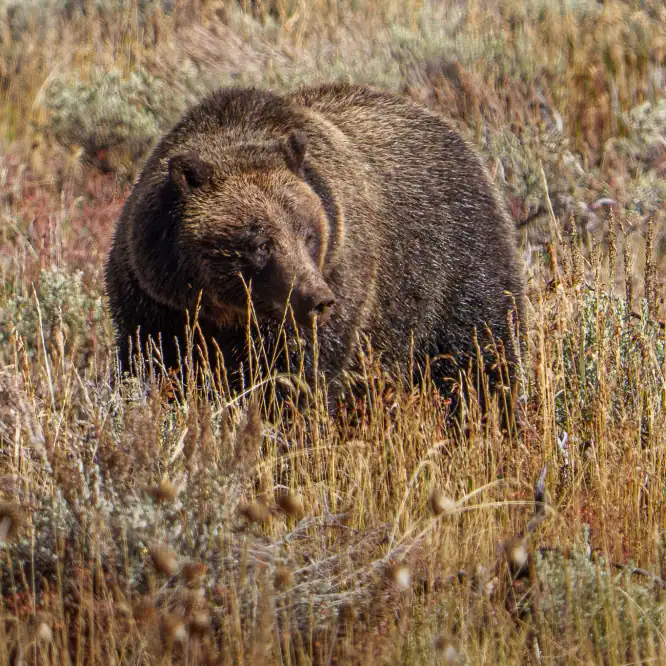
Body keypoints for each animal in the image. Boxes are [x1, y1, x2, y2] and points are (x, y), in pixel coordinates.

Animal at [105, 82, 525, 407]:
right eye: (261, 243)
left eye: (308, 234)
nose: (317, 298)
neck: (227, 313)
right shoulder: (153, 302)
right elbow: (153, 365)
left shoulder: (342, 277)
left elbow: (300, 375)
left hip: (455, 259)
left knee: (481, 351)